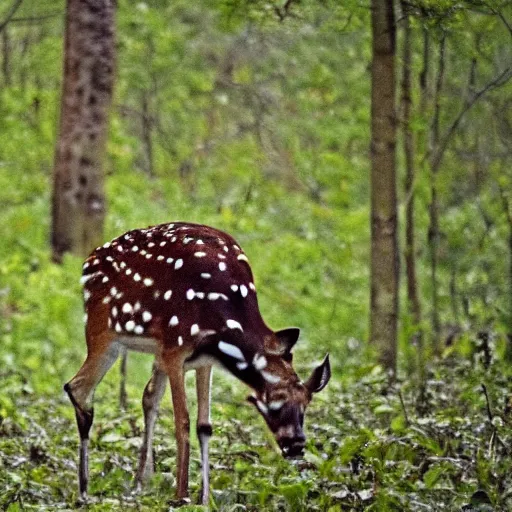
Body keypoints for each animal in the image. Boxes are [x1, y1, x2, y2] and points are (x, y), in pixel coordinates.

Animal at [64, 221, 330, 504]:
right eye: (276, 401)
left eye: (306, 403)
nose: (297, 445)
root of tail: (87, 263)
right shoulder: (175, 350)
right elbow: (182, 422)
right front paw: (181, 496)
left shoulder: (204, 360)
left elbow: (204, 426)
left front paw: (205, 498)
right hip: (103, 331)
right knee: (77, 388)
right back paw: (84, 490)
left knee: (146, 396)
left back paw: (139, 482)